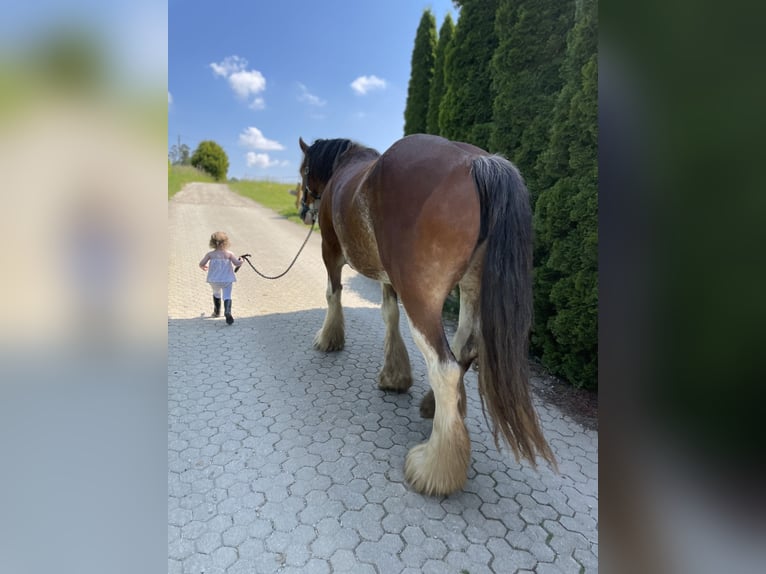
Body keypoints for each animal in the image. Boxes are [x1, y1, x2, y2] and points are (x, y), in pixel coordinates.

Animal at [296, 134, 556, 496]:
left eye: (304, 170)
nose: (303, 211)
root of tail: (477, 162)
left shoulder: (330, 251)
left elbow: (333, 294)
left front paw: (329, 339)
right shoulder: (388, 277)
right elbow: (389, 314)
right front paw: (394, 376)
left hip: (421, 295)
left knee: (445, 367)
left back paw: (433, 467)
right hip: (471, 287)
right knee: (465, 349)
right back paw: (436, 408)